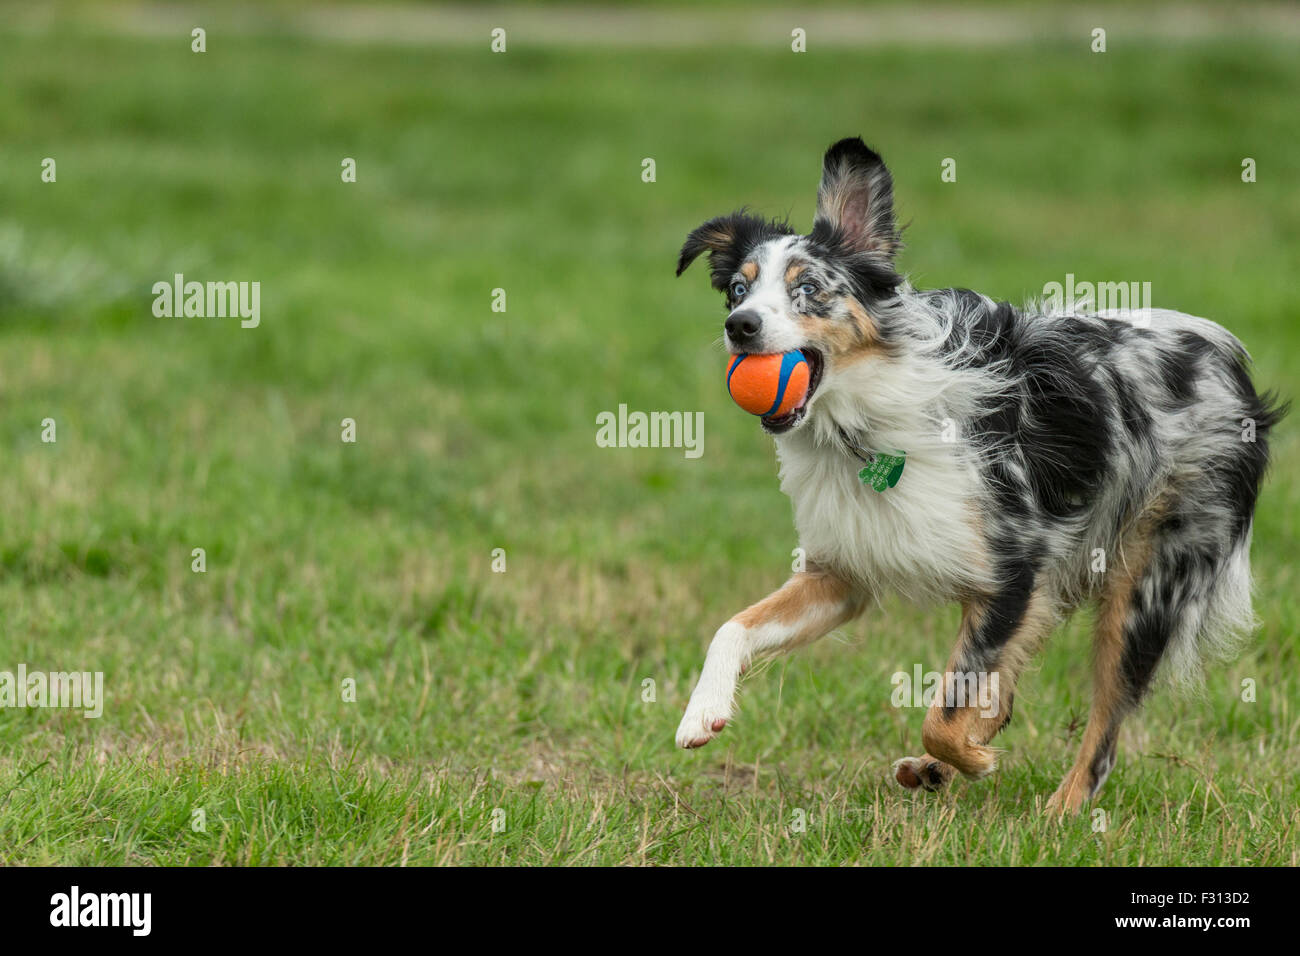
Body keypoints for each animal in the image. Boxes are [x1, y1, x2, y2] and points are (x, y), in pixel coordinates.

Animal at [676, 136, 1284, 816]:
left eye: (807, 287)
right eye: (737, 290)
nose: (740, 327)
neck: (866, 421)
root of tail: (1228, 358)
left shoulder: (1016, 571)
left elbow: (942, 714)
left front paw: (973, 760)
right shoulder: (841, 576)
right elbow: (732, 627)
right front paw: (702, 712)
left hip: (1146, 587)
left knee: (1104, 727)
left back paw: (1059, 812)